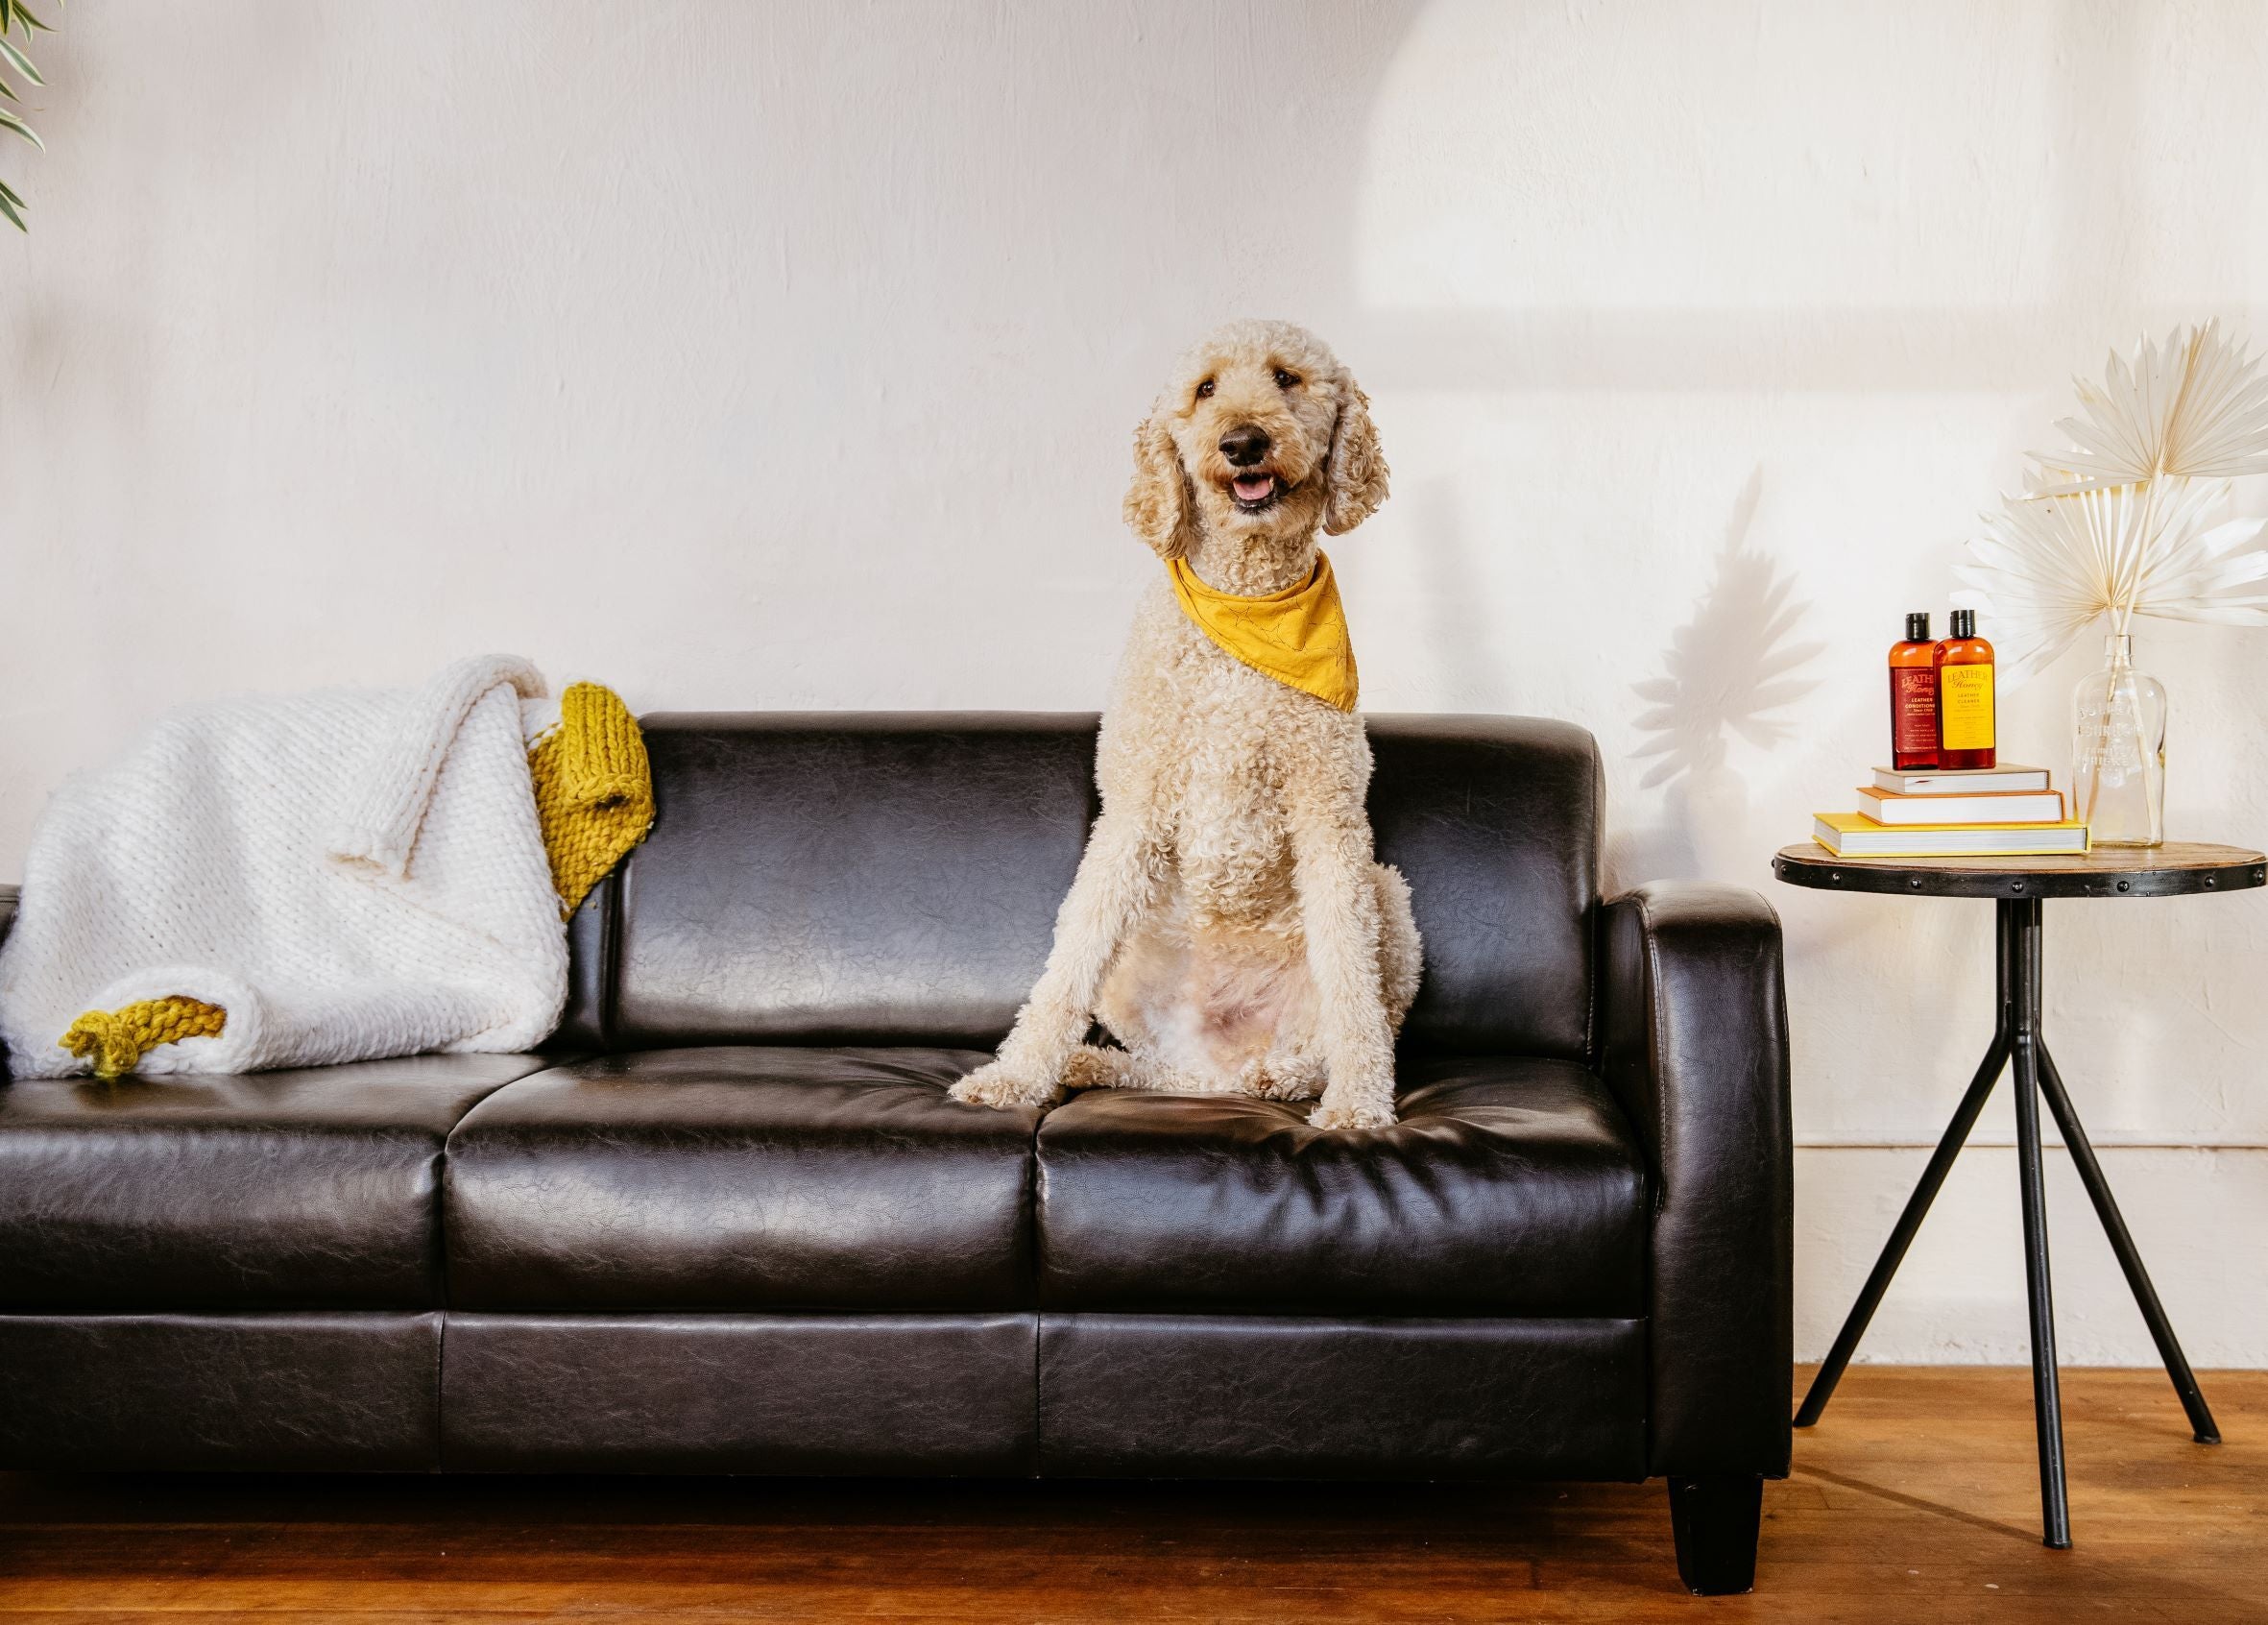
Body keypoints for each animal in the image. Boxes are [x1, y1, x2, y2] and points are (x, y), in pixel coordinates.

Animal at [953, 317, 1414, 1129]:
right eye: (1204, 389)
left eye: (1287, 378)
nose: (1243, 442)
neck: (1246, 603)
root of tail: (1223, 1050)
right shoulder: (1132, 810)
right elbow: (1065, 969)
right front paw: (1015, 1076)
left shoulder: (1330, 817)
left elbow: (1352, 986)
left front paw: (1360, 1105)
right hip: (1138, 968)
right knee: (1172, 1068)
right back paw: (1092, 1063)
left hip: (1388, 895)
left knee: (1338, 1027)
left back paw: (1287, 1076)